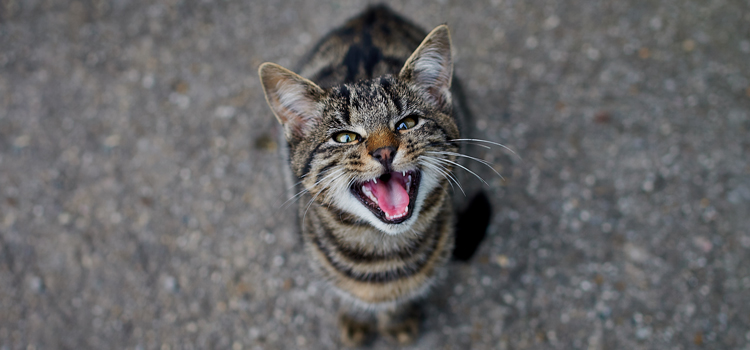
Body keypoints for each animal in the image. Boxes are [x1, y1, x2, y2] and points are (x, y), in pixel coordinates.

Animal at [258, 5, 494, 348]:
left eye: (408, 123)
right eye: (345, 137)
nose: (384, 151)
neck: (382, 252)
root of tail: (375, 10)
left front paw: (397, 319)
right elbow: (345, 291)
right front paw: (356, 316)